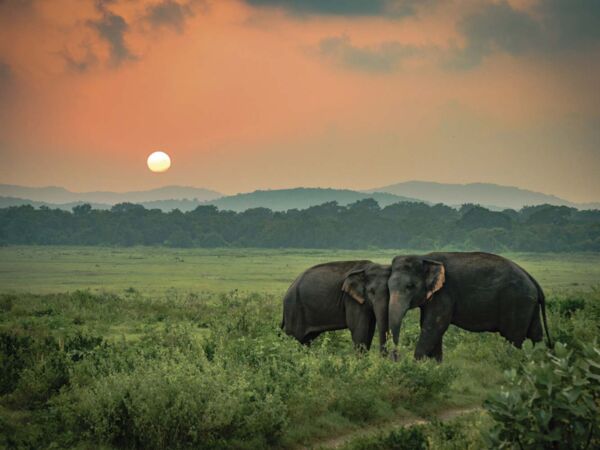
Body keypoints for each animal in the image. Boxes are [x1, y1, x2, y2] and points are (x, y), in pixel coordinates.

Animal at [386, 253, 552, 362]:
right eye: (388, 286)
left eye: (410, 286)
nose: (396, 357)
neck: (424, 257)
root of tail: (532, 279)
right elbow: (430, 327)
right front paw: (435, 366)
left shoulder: (444, 293)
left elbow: (434, 327)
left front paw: (417, 365)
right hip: (528, 305)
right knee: (535, 334)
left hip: (517, 303)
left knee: (514, 338)